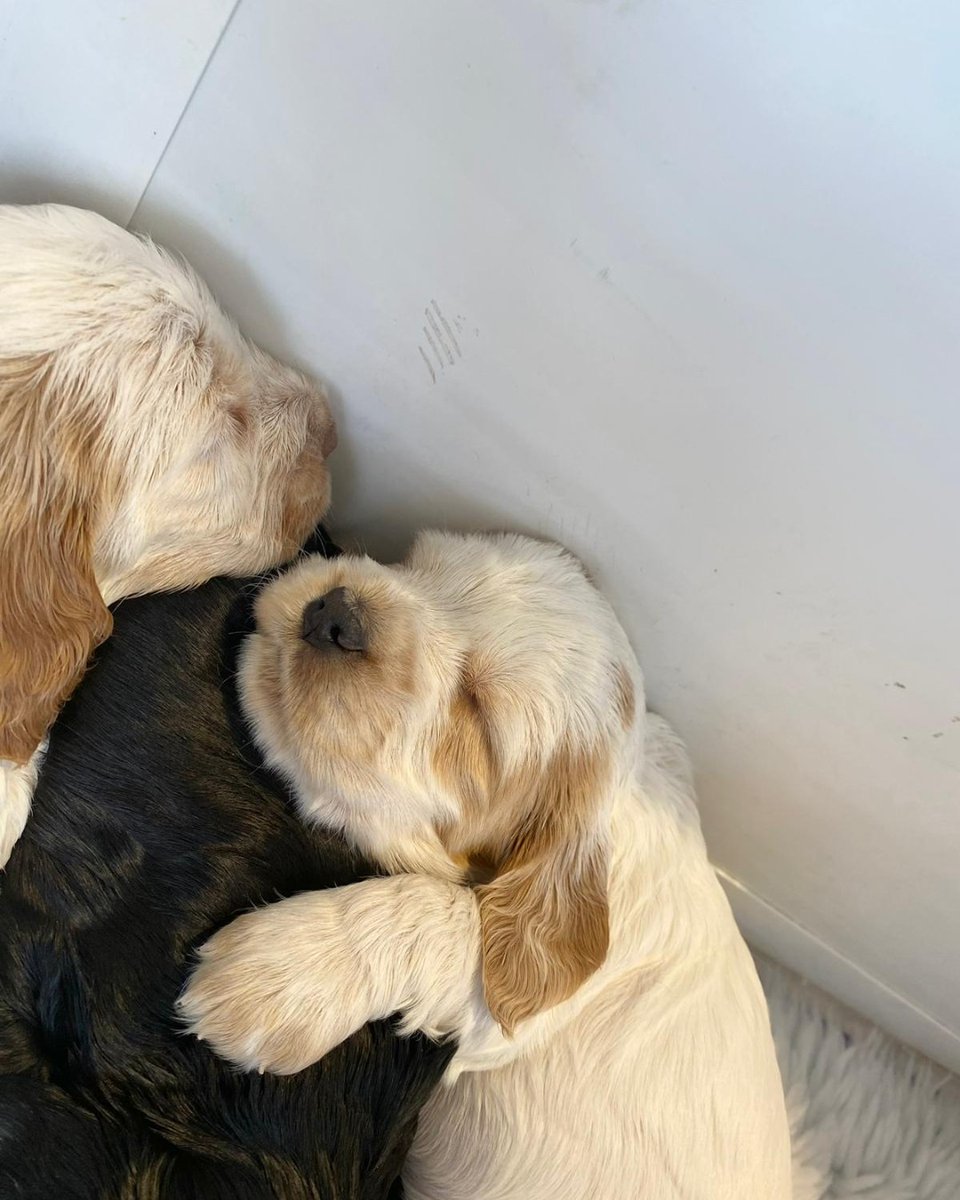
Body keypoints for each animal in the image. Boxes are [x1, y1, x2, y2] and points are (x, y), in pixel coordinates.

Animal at [182, 535, 796, 1200]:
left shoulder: (505, 1007)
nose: (334, 612)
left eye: (475, 712)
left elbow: (445, 912)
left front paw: (268, 980)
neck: (627, 793)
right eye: (413, 563)